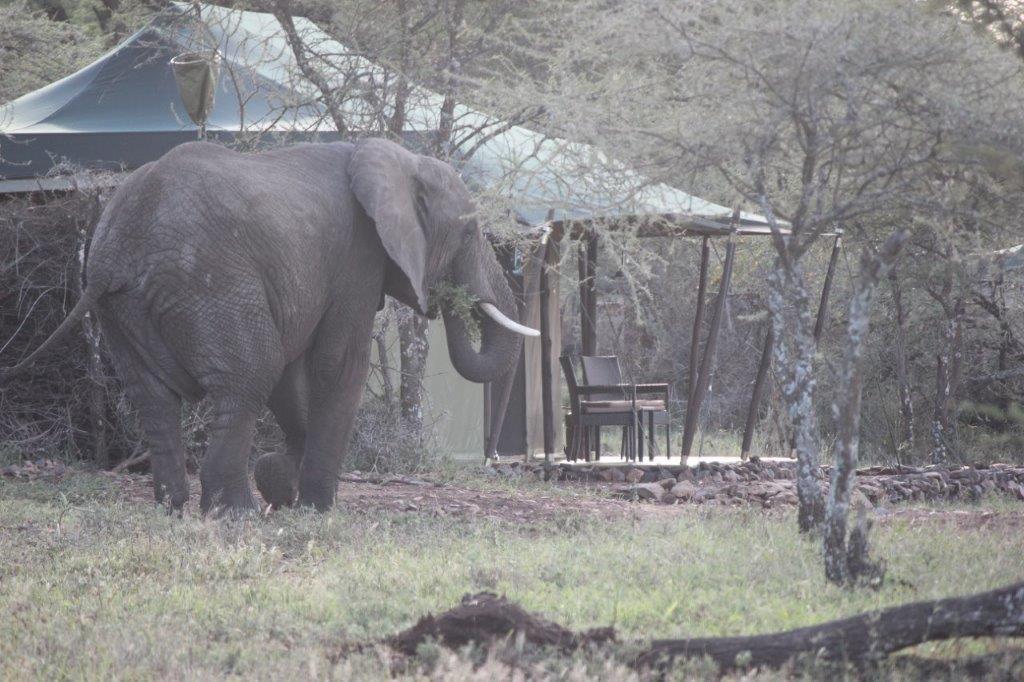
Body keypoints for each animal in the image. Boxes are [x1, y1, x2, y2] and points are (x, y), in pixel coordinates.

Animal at [0, 137, 540, 509]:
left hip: (124, 308)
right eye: (469, 232)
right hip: (209, 281)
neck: (402, 160)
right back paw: (234, 514)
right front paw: (316, 507)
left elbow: (293, 374)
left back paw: (173, 509)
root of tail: (114, 247)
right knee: (248, 376)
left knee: (153, 397)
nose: (496, 459)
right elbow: (334, 365)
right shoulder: (356, 258)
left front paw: (282, 484)